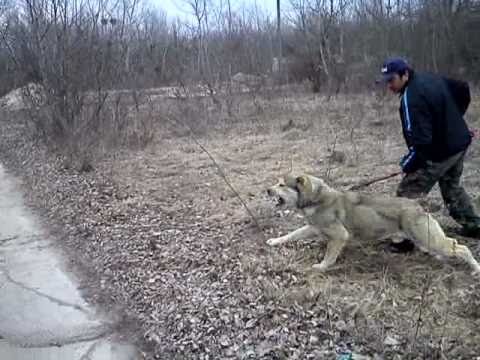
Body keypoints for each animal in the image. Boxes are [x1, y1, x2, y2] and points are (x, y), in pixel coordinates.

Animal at [266, 174, 480, 272]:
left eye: (281, 184)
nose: (267, 190)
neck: (315, 198)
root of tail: (419, 205)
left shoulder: (339, 236)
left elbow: (329, 256)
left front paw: (322, 266)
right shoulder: (312, 227)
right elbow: (291, 235)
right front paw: (275, 241)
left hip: (428, 239)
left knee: (461, 248)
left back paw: (475, 269)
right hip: (426, 240)